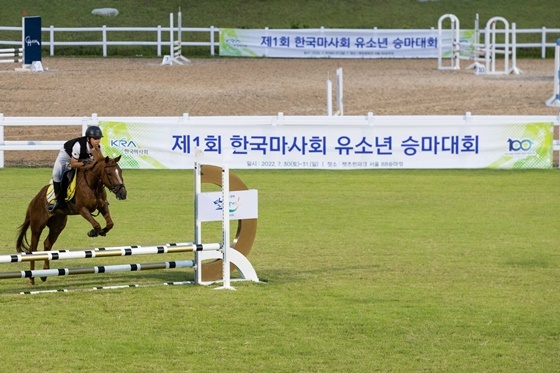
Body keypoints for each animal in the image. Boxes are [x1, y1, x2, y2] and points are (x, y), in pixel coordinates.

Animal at [15, 150, 127, 284]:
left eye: (120, 171)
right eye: (109, 173)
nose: (123, 194)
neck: (92, 185)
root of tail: (34, 200)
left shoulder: (103, 206)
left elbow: (110, 223)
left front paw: (102, 231)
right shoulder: (82, 209)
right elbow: (96, 224)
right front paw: (93, 232)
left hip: (57, 226)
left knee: (47, 244)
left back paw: (44, 273)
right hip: (37, 226)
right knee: (33, 249)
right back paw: (31, 278)